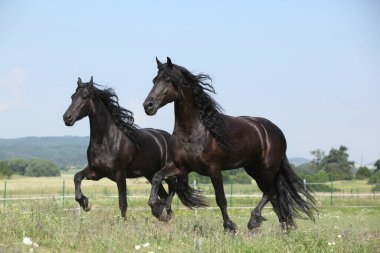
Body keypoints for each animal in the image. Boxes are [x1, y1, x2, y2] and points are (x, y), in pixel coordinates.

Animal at [63, 76, 205, 220]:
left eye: (85, 96)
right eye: (72, 97)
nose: (67, 118)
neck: (105, 141)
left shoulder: (120, 175)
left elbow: (123, 203)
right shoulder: (96, 172)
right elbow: (77, 177)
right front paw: (84, 203)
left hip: (168, 171)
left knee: (173, 188)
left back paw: (162, 211)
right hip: (150, 174)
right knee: (164, 193)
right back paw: (161, 213)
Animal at [144, 57, 316, 233]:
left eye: (168, 80)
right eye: (154, 80)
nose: (148, 106)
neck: (195, 132)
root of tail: (276, 131)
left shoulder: (213, 169)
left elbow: (221, 199)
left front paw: (229, 227)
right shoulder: (181, 167)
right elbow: (158, 177)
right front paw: (156, 208)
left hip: (267, 168)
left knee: (270, 192)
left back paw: (254, 221)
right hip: (254, 169)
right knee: (274, 196)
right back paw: (283, 229)